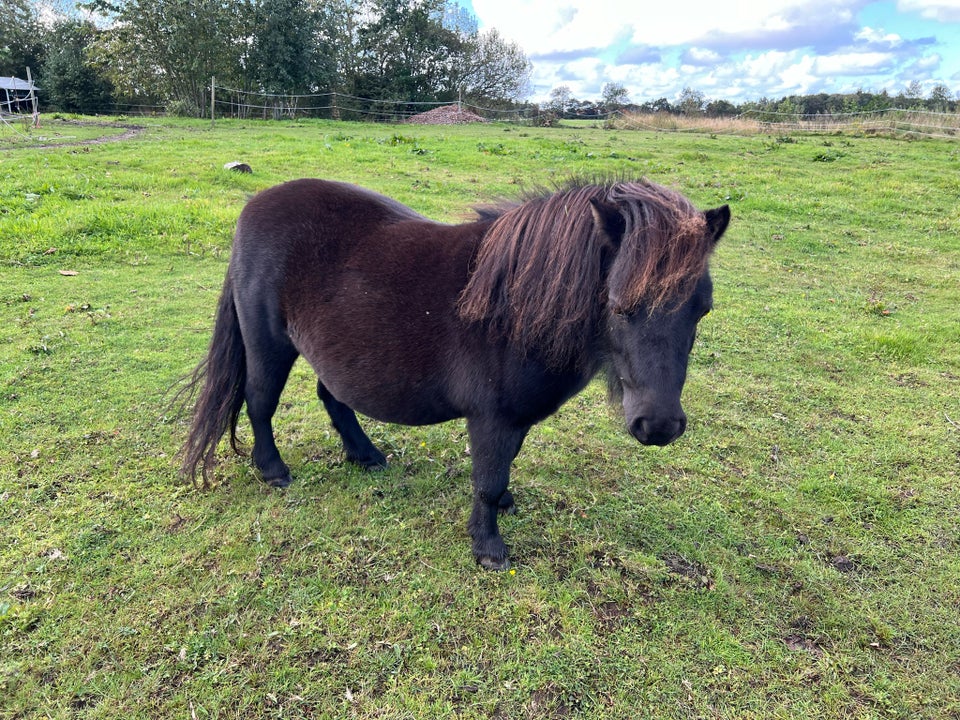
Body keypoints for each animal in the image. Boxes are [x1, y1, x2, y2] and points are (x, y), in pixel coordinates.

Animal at [180, 179, 728, 568]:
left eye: (702, 309)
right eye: (619, 306)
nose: (659, 426)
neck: (517, 306)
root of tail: (255, 206)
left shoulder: (515, 417)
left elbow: (505, 467)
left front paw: (506, 504)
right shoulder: (490, 417)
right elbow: (486, 477)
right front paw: (488, 547)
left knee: (333, 396)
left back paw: (365, 455)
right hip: (268, 344)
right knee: (260, 402)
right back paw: (273, 470)